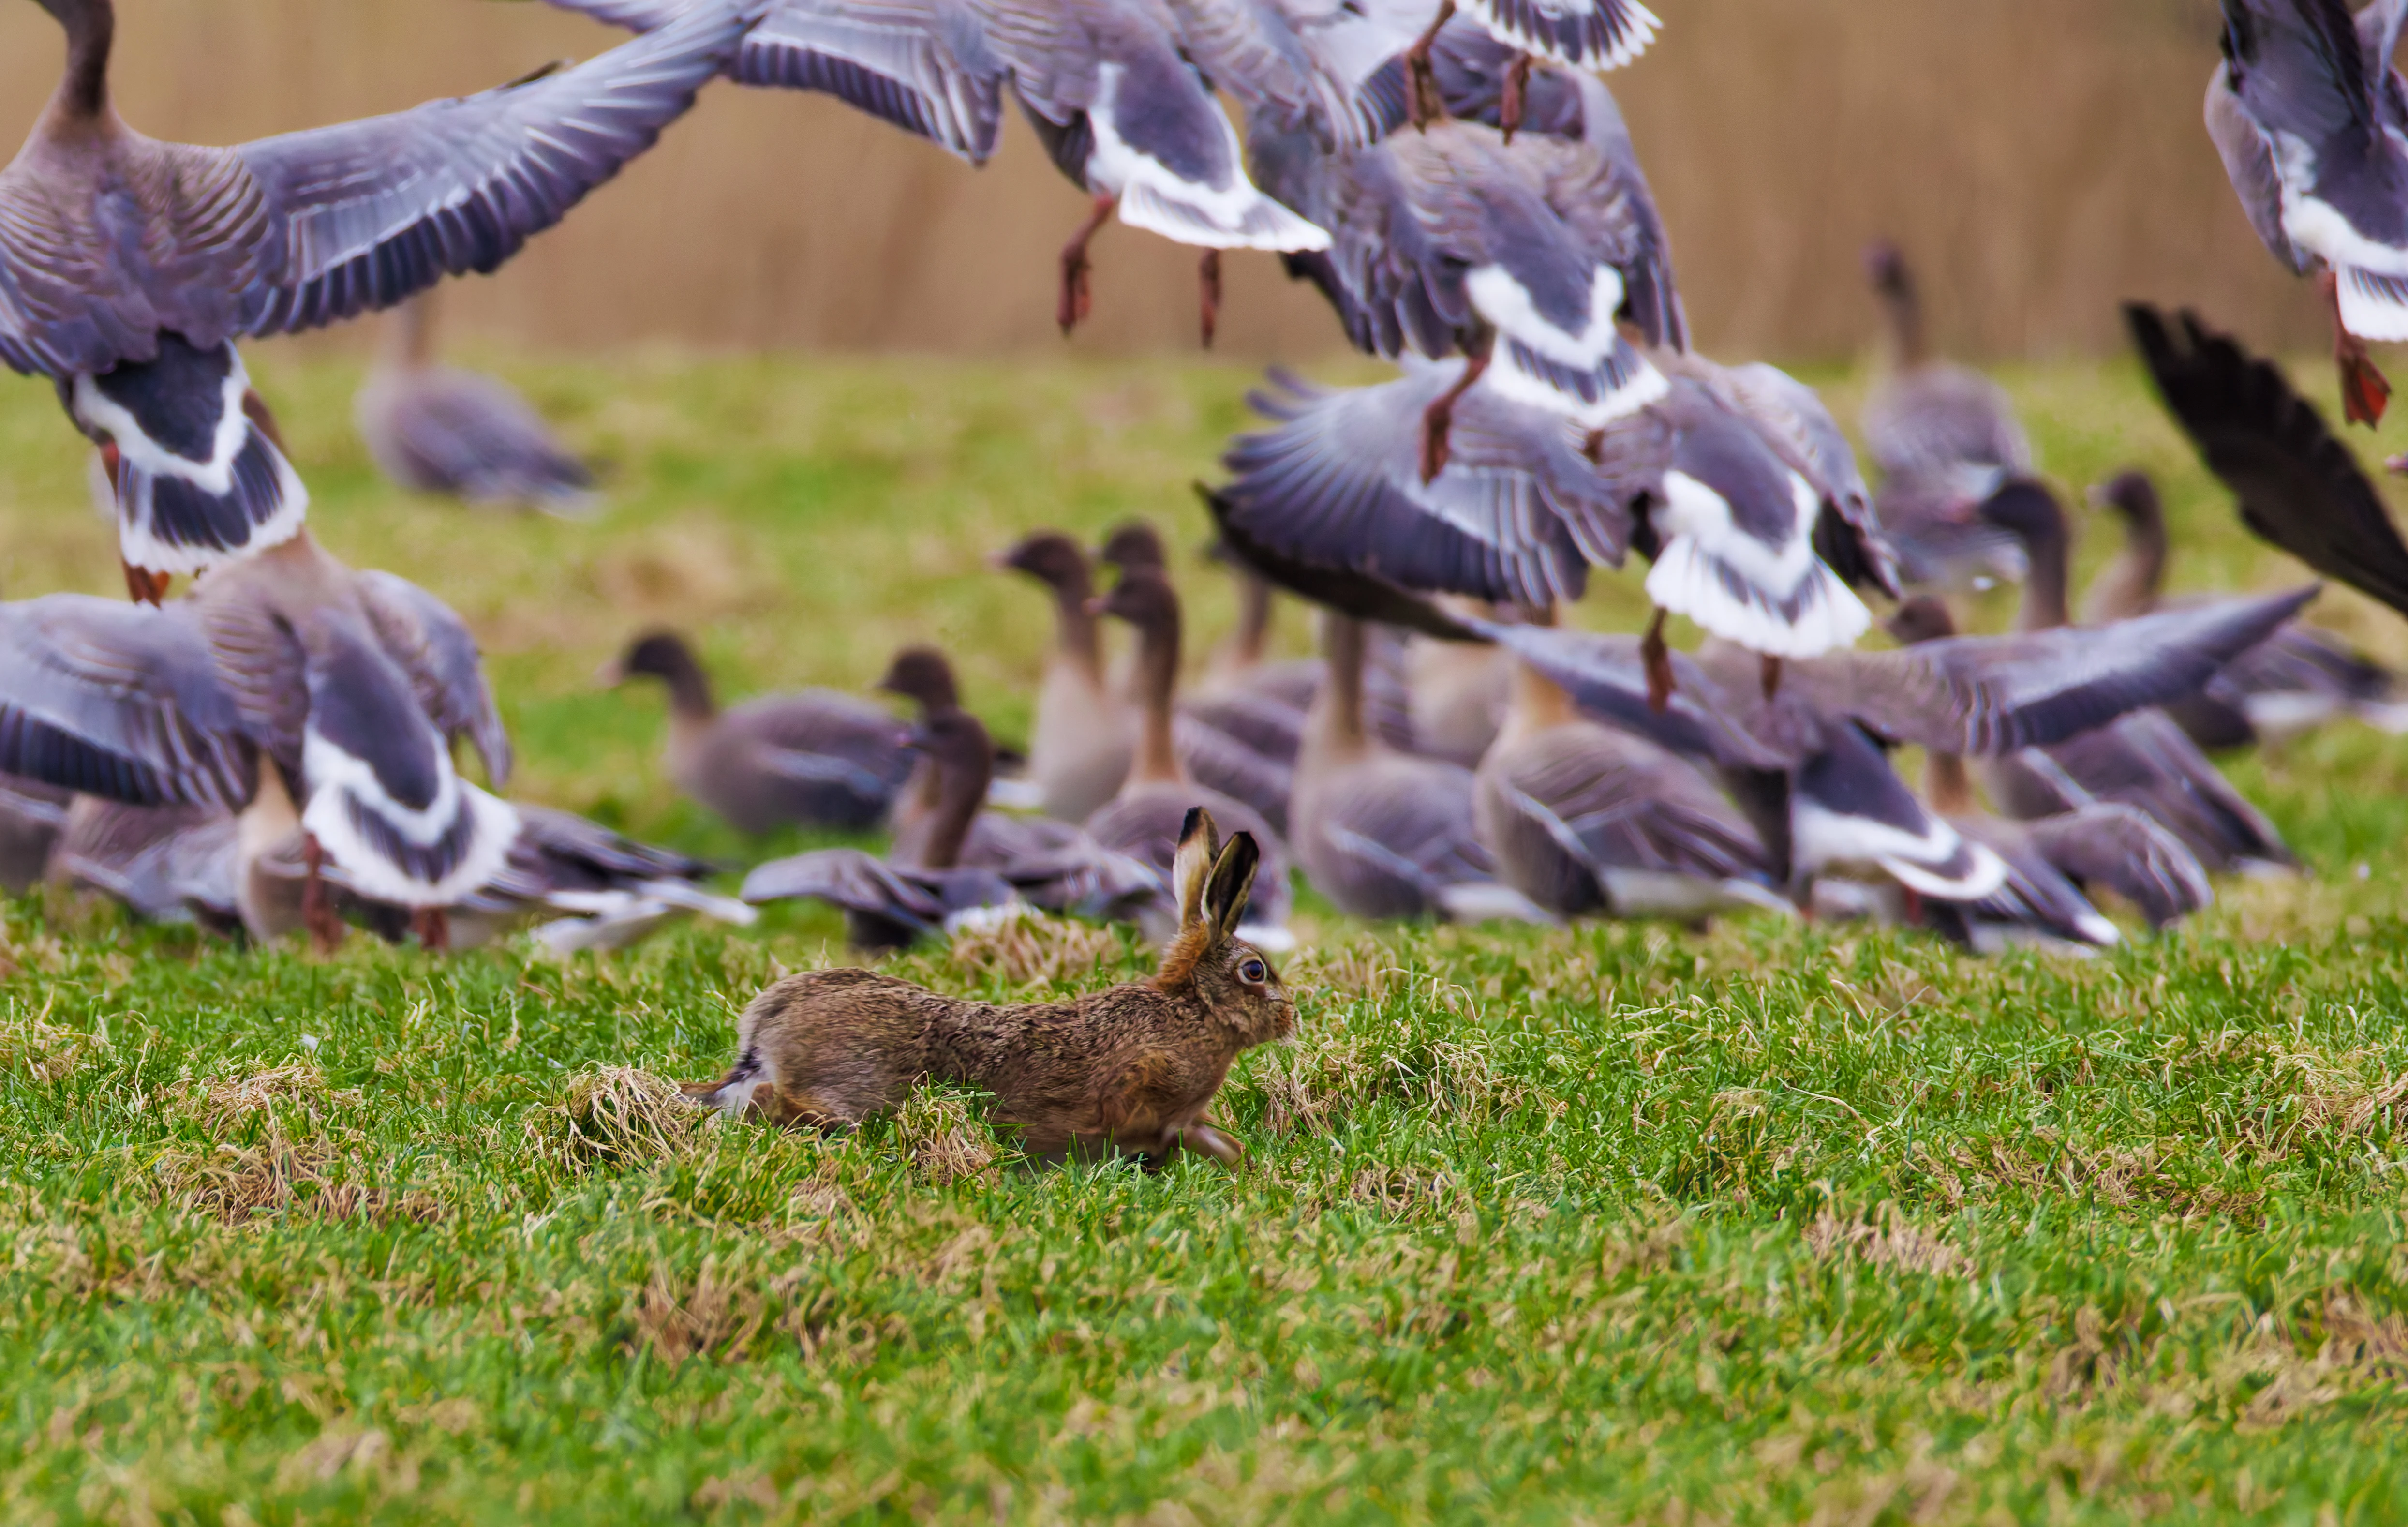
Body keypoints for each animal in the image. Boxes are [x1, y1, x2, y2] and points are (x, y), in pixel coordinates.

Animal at [684, 807, 1294, 1166]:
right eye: (1255, 971)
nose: (1292, 1016)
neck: (1194, 1012)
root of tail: (767, 1029)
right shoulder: (1145, 1091)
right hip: (849, 1093)